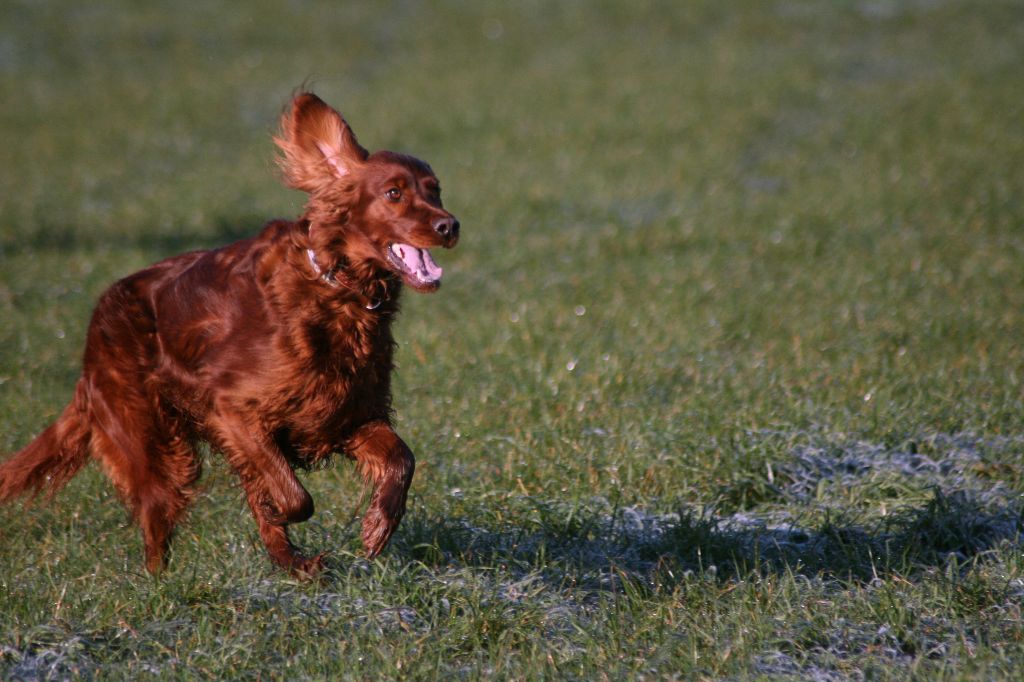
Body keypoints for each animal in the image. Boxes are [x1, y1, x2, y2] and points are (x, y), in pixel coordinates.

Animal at [0, 91, 460, 573]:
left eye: (435, 189)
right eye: (394, 193)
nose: (450, 225)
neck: (336, 292)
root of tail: (94, 332)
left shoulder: (348, 414)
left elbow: (402, 459)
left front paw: (377, 527)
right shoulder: (233, 411)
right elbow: (295, 496)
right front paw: (290, 514)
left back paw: (298, 566)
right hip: (156, 448)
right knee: (156, 524)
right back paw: (163, 581)